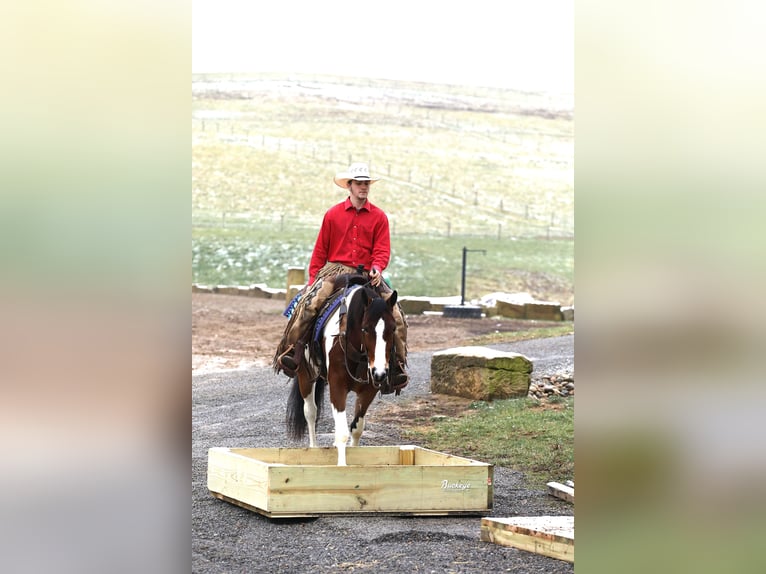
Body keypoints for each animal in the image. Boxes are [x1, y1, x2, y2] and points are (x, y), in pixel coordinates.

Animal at [284, 274, 400, 468]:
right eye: (365, 328)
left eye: (393, 328)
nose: (379, 372)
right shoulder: (337, 387)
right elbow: (342, 432)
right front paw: (342, 467)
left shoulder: (369, 390)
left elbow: (357, 428)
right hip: (305, 376)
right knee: (310, 412)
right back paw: (313, 449)